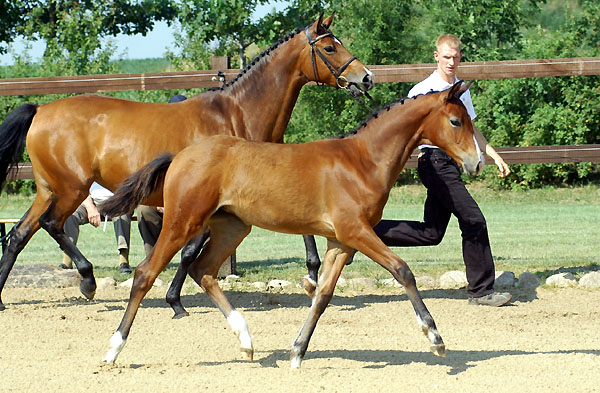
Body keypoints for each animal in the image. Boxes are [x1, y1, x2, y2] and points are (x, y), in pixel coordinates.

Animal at [101, 82, 480, 368]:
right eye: (456, 121)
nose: (475, 163)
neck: (361, 161)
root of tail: (180, 156)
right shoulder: (356, 231)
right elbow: (403, 270)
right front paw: (435, 337)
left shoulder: (341, 242)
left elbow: (323, 295)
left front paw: (297, 351)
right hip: (182, 222)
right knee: (145, 274)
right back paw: (113, 349)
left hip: (232, 227)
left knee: (204, 270)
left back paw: (246, 340)